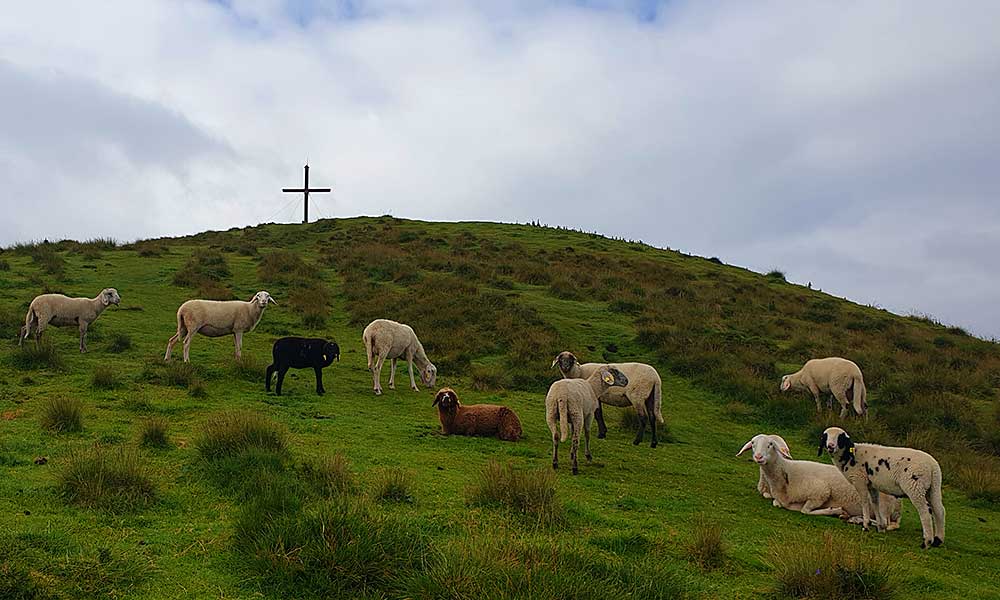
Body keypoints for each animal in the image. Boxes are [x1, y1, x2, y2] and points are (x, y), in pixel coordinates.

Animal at [736, 434, 908, 528]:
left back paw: (856, 519)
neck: (787, 472)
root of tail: (899, 506)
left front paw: (835, 510)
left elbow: (805, 511)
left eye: (770, 444)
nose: (758, 457)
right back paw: (855, 519)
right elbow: (778, 504)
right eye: (753, 444)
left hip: (883, 507)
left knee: (885, 523)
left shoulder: (820, 493)